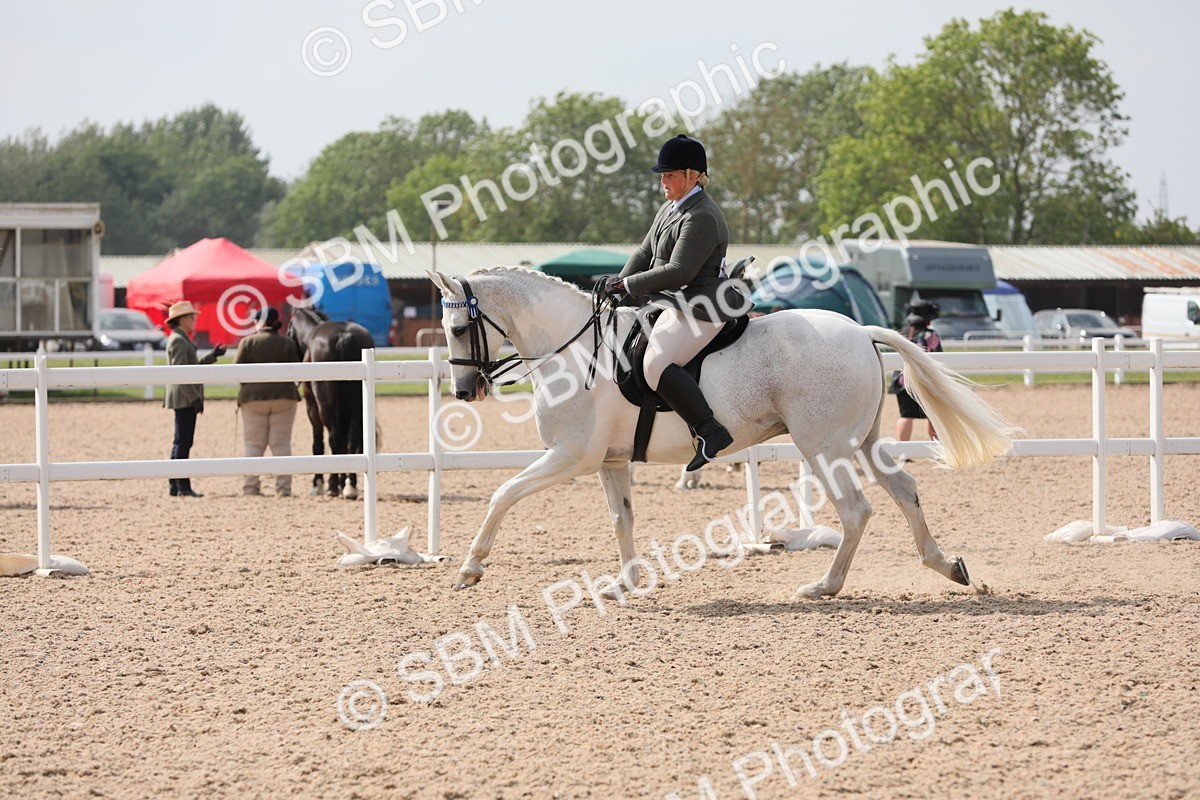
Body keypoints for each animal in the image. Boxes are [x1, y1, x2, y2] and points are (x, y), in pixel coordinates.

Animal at [287, 306, 376, 499]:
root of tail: (344, 337)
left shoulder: (312, 408)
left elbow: (318, 444)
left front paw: (319, 484)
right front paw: (344, 482)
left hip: (325, 406)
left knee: (335, 439)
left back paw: (333, 485)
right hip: (356, 407)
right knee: (352, 441)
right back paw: (350, 486)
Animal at [429, 267, 1015, 599]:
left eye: (457, 327)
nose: (463, 392)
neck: (575, 350)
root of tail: (859, 330)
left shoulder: (570, 456)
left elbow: (503, 494)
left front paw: (469, 569)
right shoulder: (609, 461)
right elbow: (622, 520)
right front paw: (625, 584)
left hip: (823, 447)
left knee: (856, 511)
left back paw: (824, 587)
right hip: (863, 441)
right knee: (904, 492)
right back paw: (947, 566)